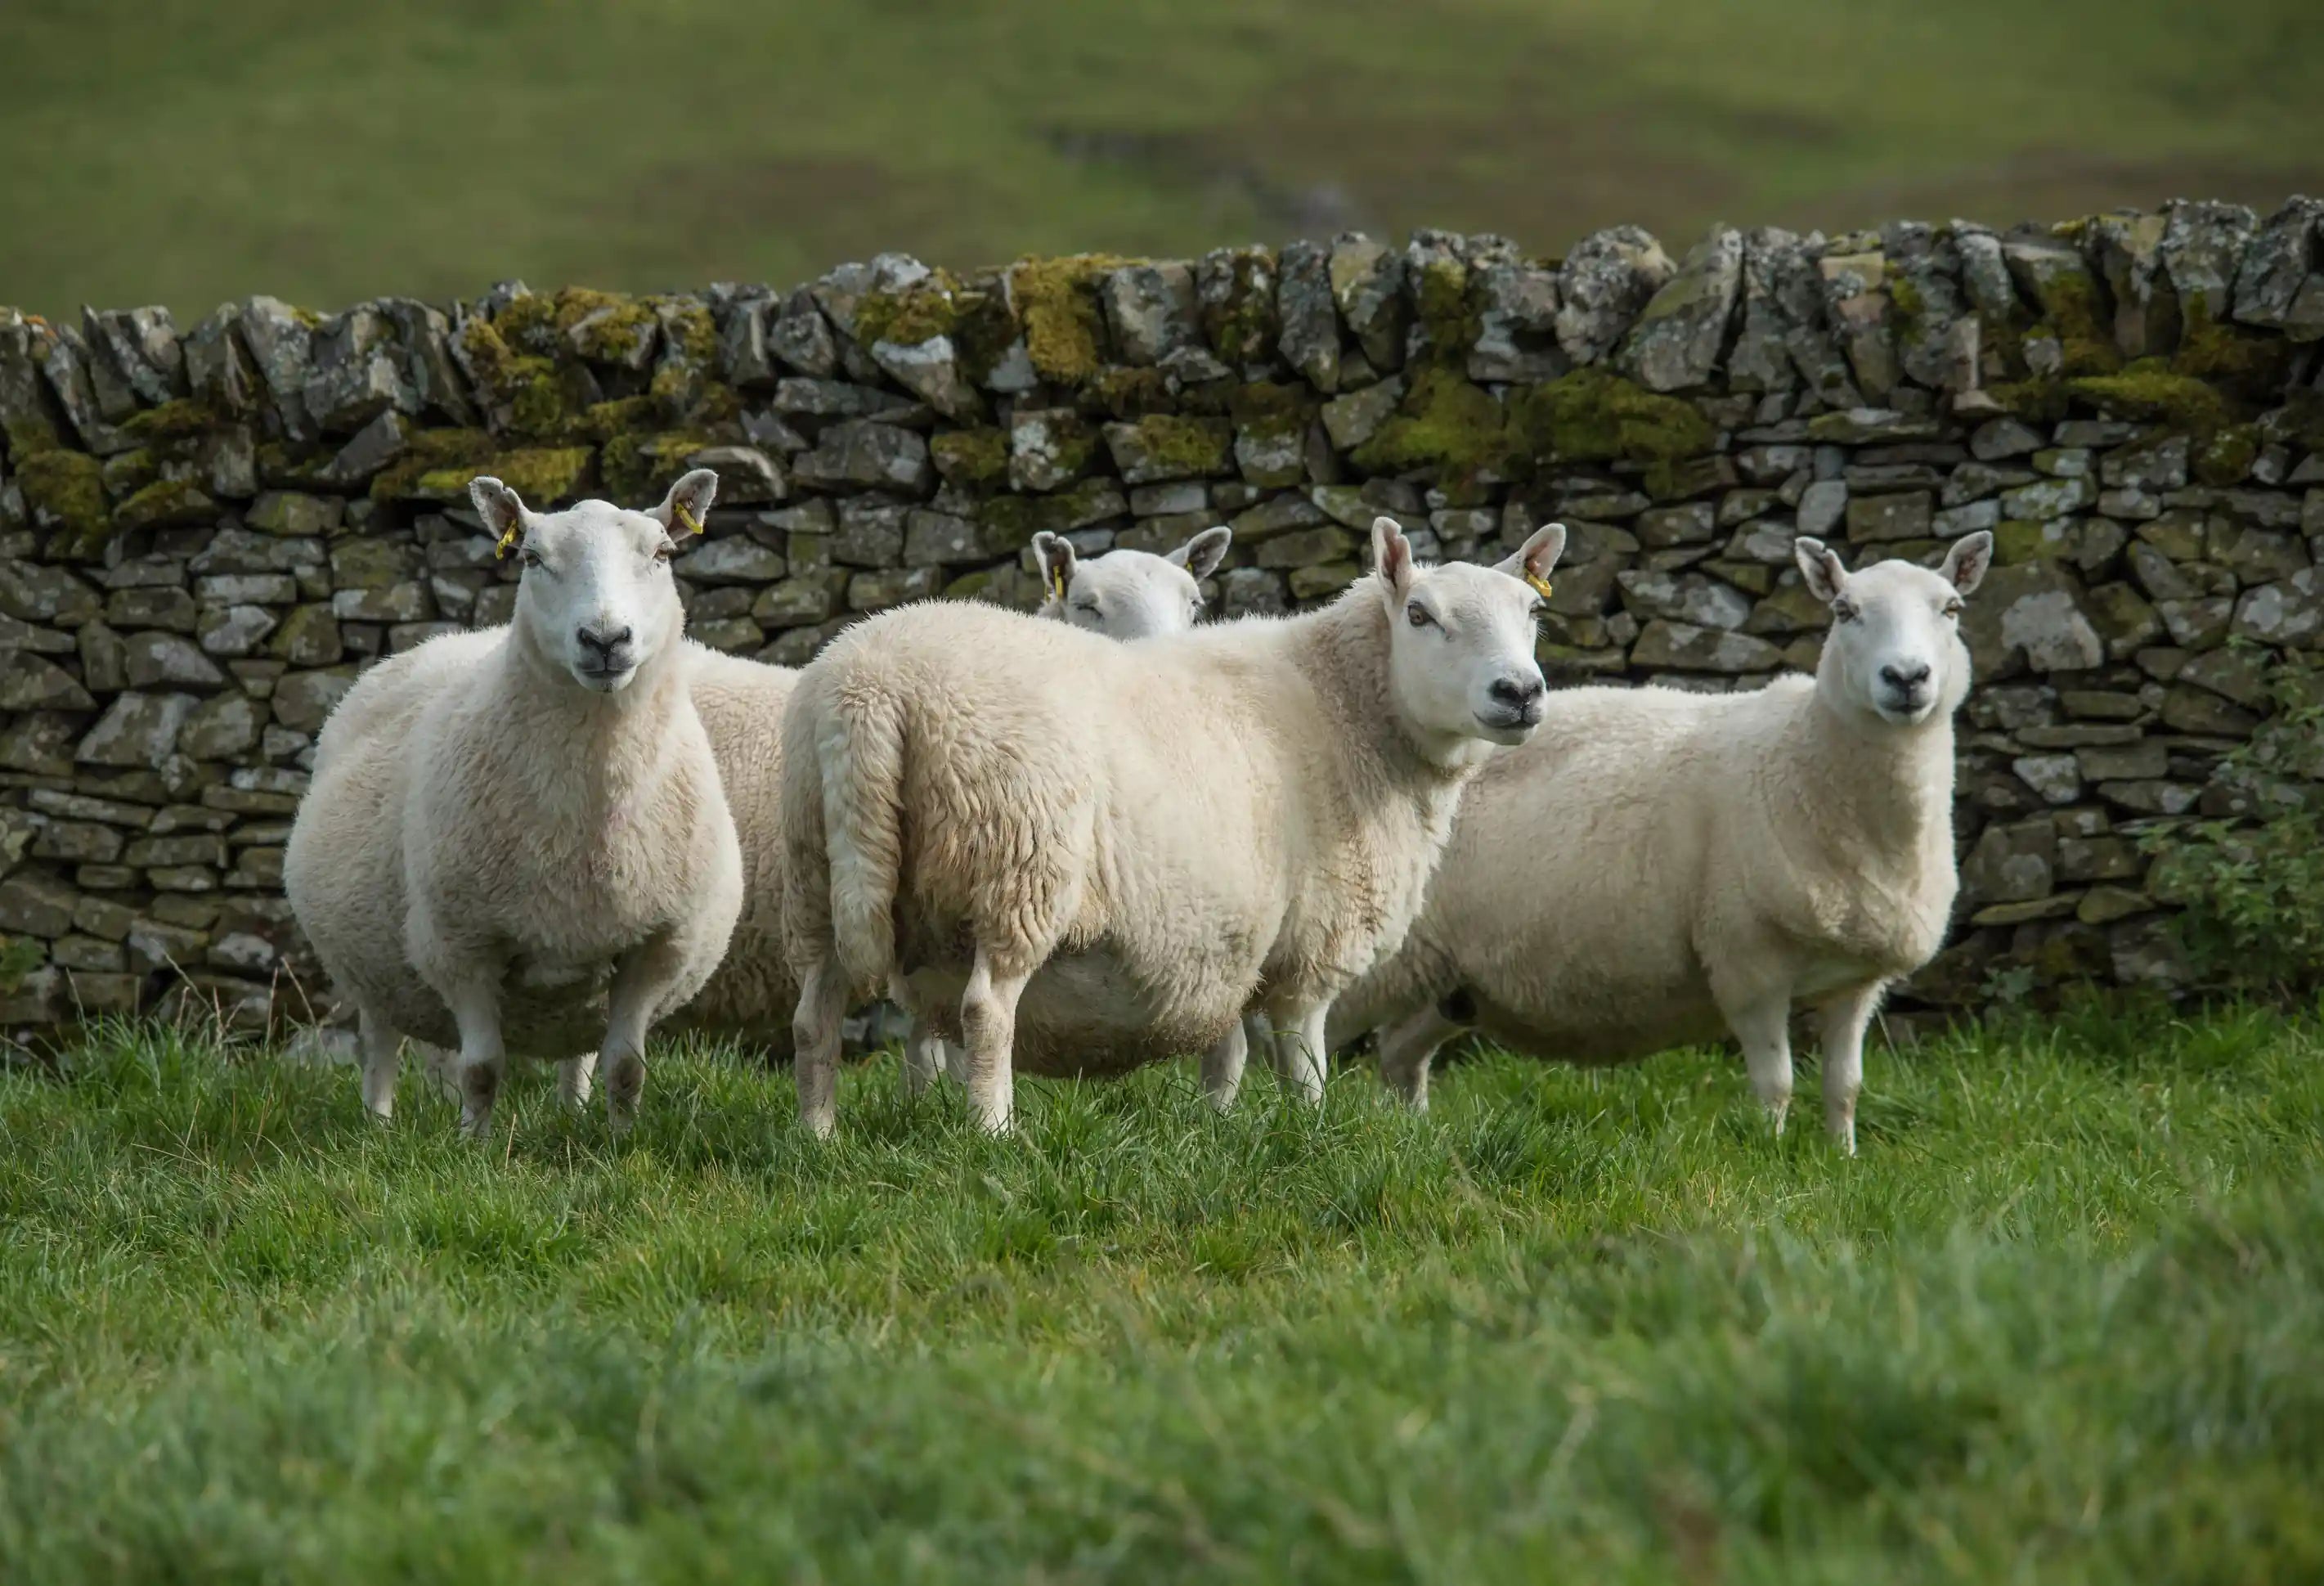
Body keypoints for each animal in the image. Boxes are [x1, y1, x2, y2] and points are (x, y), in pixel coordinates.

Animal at [283, 470, 744, 1139]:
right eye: (531, 557)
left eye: (662, 554)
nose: (605, 639)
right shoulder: (459, 945)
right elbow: (481, 1069)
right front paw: (472, 1147)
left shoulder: (656, 946)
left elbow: (626, 1068)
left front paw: (621, 1142)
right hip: (372, 961)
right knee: (380, 1046)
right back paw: (378, 1130)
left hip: (580, 969)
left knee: (578, 1055)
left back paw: (573, 1112)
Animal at [781, 515, 1567, 1135]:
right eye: (1420, 616)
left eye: (1532, 612)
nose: (1520, 692)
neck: (1349, 703)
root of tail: (872, 690)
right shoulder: (1312, 937)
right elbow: (1302, 1053)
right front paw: (1311, 1130)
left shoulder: (1226, 933)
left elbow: (1226, 1051)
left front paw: (1216, 1124)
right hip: (1018, 868)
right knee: (985, 1011)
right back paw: (993, 1132)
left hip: (818, 865)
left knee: (814, 1013)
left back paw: (818, 1136)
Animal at [1327, 531, 1994, 1155]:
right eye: (1845, 610)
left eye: (1952, 608)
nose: (1906, 678)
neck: (1805, 759)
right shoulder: (1746, 962)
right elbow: (1776, 1084)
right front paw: (1773, 1157)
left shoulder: (1856, 982)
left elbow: (1846, 1086)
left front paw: (1842, 1159)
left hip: (1445, 979)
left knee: (1400, 1053)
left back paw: (1413, 1136)